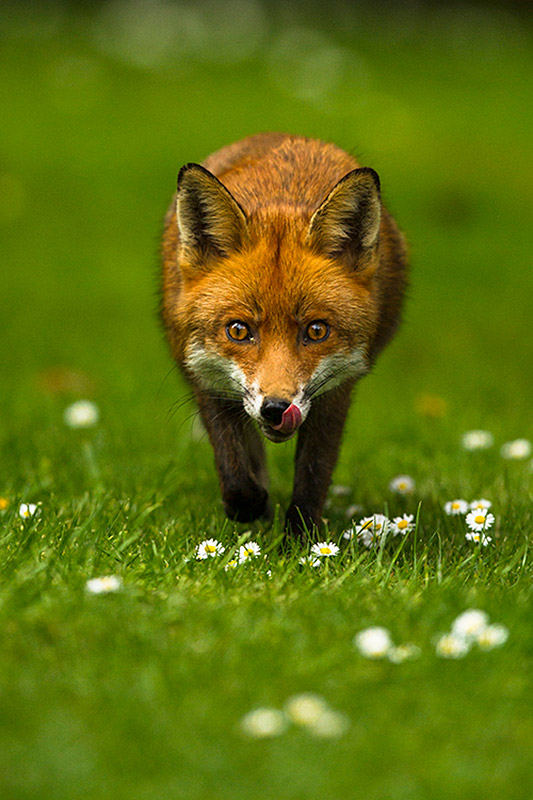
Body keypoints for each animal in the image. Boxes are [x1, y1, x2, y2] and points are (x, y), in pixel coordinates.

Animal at [160, 134, 406, 540]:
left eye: (316, 330)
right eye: (239, 330)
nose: (275, 409)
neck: (279, 200)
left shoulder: (336, 390)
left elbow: (313, 473)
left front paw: (300, 538)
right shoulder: (203, 375)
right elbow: (232, 462)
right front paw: (249, 504)